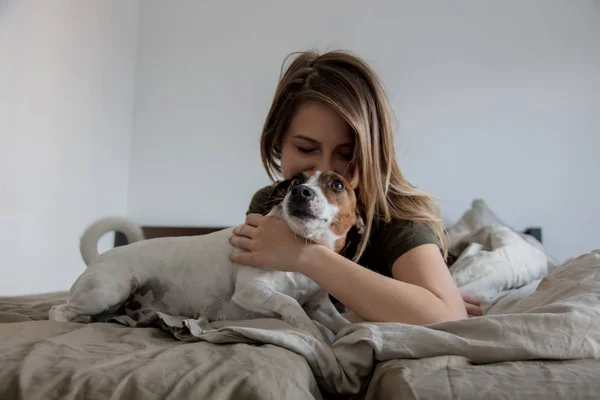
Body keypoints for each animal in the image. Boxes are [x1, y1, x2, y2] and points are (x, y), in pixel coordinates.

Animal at [49, 170, 364, 342]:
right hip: (107, 290)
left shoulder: (320, 306)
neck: (300, 247)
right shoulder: (251, 290)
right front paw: (310, 330)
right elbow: (290, 303)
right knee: (58, 311)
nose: (300, 191)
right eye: (296, 180)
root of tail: (99, 258)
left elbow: (342, 322)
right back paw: (75, 319)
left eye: (337, 185)